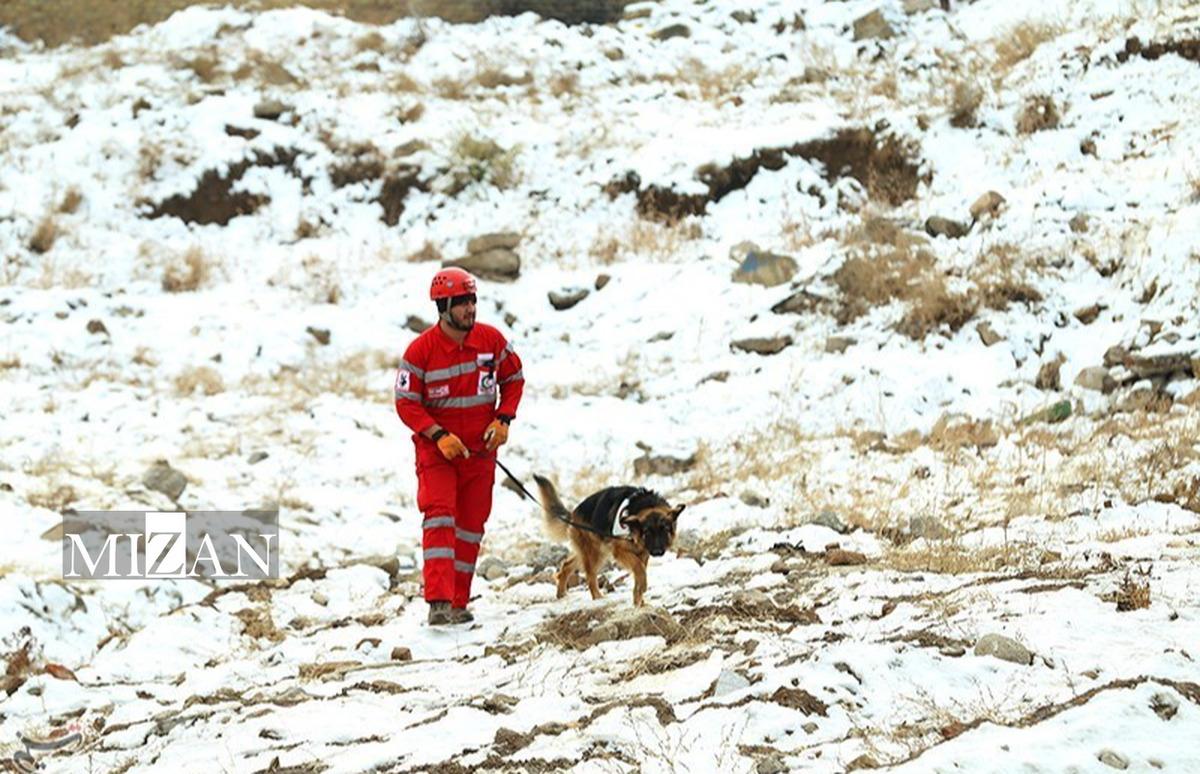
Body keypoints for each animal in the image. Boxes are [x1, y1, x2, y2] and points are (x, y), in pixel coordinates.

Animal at [532, 472, 686, 607]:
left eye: (664, 530)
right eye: (647, 532)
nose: (658, 551)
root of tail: (573, 514)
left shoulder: (643, 552)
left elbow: (639, 572)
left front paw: (638, 600)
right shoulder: (620, 551)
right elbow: (639, 568)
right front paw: (641, 589)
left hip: (595, 551)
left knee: (566, 565)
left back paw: (561, 594)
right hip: (595, 553)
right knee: (590, 577)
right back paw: (598, 598)